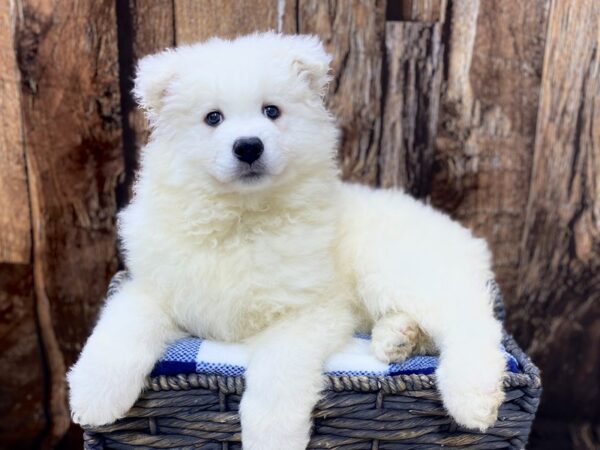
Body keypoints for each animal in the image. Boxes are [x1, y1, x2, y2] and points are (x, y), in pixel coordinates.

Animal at [68, 32, 504, 450]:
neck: (242, 219)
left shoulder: (308, 312)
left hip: (400, 269)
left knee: (471, 322)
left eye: (271, 111)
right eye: (213, 118)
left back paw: (473, 396)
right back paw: (396, 339)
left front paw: (271, 437)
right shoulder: (159, 287)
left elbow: (276, 373)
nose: (248, 146)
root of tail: (467, 239)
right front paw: (94, 395)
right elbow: (122, 325)